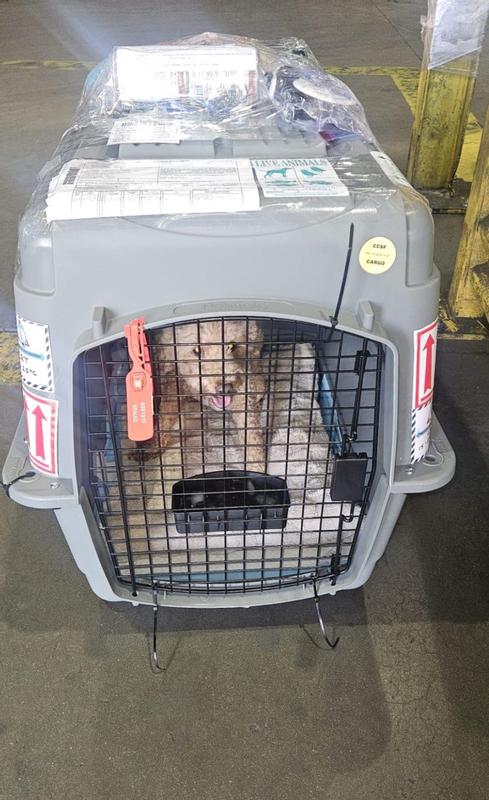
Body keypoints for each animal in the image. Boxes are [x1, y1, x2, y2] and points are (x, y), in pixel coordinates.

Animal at [132, 319, 267, 473]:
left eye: (231, 346)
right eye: (197, 350)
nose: (225, 389)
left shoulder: (243, 397)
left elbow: (251, 437)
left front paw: (256, 468)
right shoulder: (174, 385)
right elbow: (165, 417)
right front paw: (154, 446)